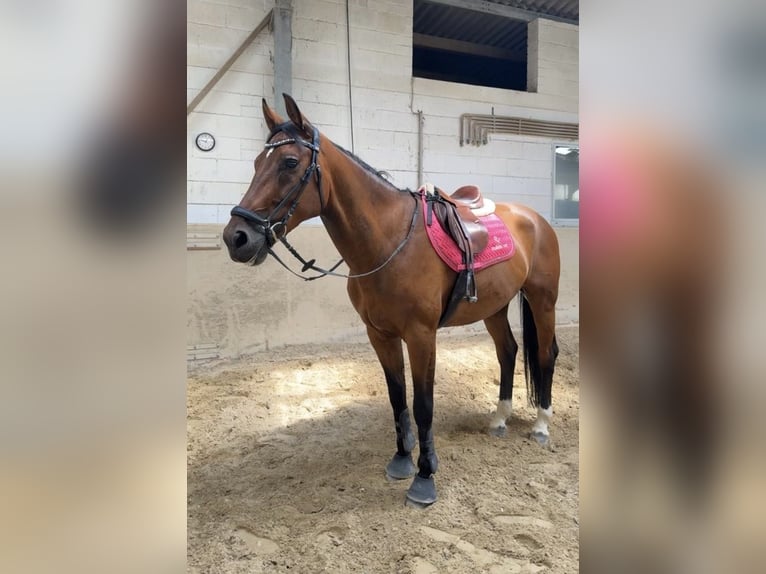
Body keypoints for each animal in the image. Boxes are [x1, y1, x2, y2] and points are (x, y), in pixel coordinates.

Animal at [222, 94, 561, 506]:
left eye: (289, 162)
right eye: (258, 162)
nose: (236, 237)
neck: (389, 242)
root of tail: (535, 219)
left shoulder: (421, 335)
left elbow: (422, 404)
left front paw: (424, 477)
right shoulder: (380, 334)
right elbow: (397, 397)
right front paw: (401, 459)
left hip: (543, 300)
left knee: (545, 354)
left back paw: (542, 425)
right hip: (494, 306)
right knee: (508, 351)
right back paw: (499, 418)